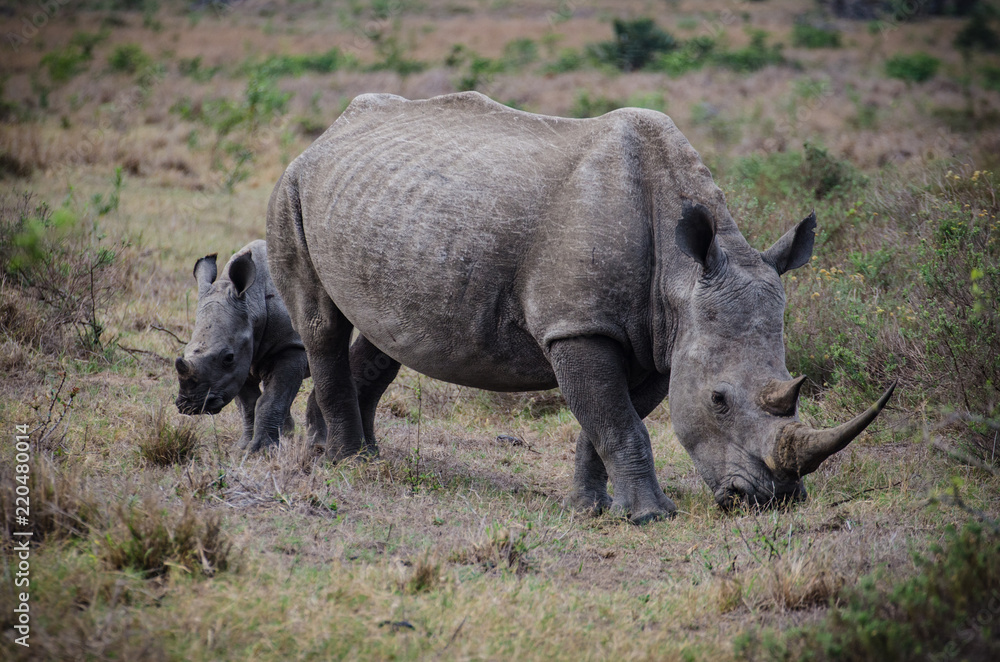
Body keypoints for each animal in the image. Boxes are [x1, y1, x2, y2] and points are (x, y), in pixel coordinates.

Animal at [174, 240, 315, 452]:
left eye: (228, 357)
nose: (190, 406)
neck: (252, 303)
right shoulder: (241, 361)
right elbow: (249, 405)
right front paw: (241, 448)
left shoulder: (291, 347)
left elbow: (272, 400)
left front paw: (262, 450)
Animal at [266, 92, 894, 521]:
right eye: (718, 400)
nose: (769, 501)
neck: (683, 277)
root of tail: (330, 131)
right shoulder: (579, 327)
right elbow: (618, 422)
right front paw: (651, 516)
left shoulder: (657, 339)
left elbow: (610, 422)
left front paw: (593, 508)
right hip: (291, 186)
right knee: (322, 324)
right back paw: (346, 462)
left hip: (386, 209)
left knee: (385, 335)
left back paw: (347, 455)